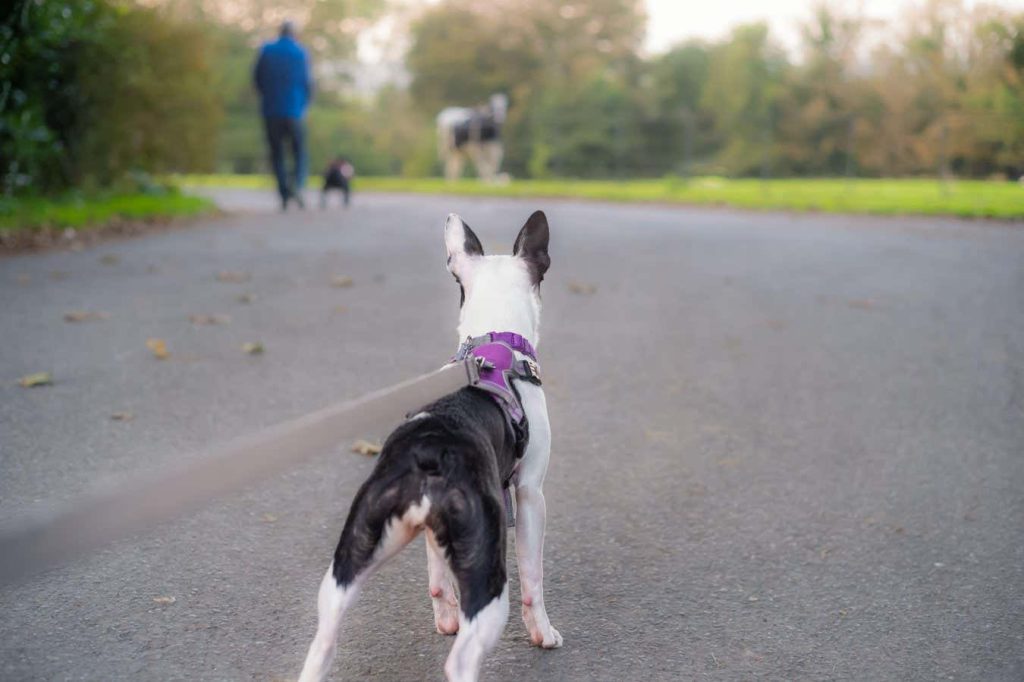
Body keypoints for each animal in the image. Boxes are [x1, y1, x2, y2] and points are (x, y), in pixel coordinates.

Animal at [299, 209, 565, 675]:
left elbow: (436, 575)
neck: (495, 343)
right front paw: (543, 633)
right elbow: (534, 577)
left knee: (322, 644)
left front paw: (445, 618)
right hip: (487, 575)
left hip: (345, 566)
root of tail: (427, 454)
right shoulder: (531, 494)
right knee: (462, 659)